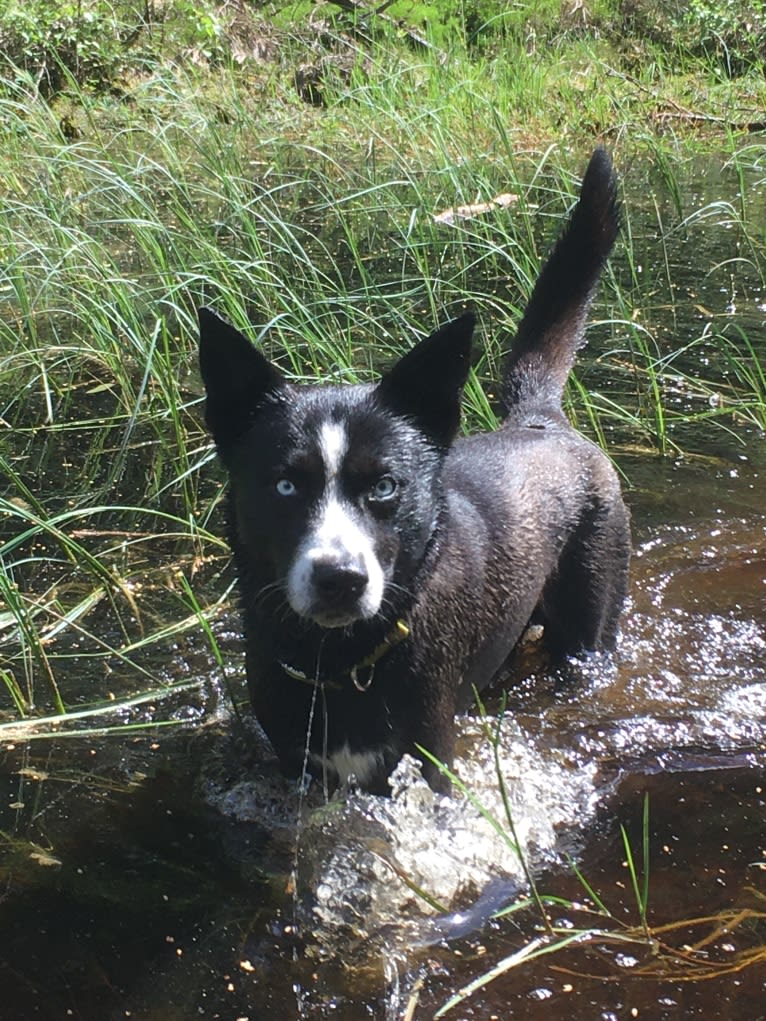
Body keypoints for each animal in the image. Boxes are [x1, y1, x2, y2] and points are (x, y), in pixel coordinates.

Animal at [198, 148, 629, 792]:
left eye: (384, 486)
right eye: (284, 484)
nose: (340, 579)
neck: (337, 661)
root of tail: (540, 420)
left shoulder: (429, 757)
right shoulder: (296, 763)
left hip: (591, 625)